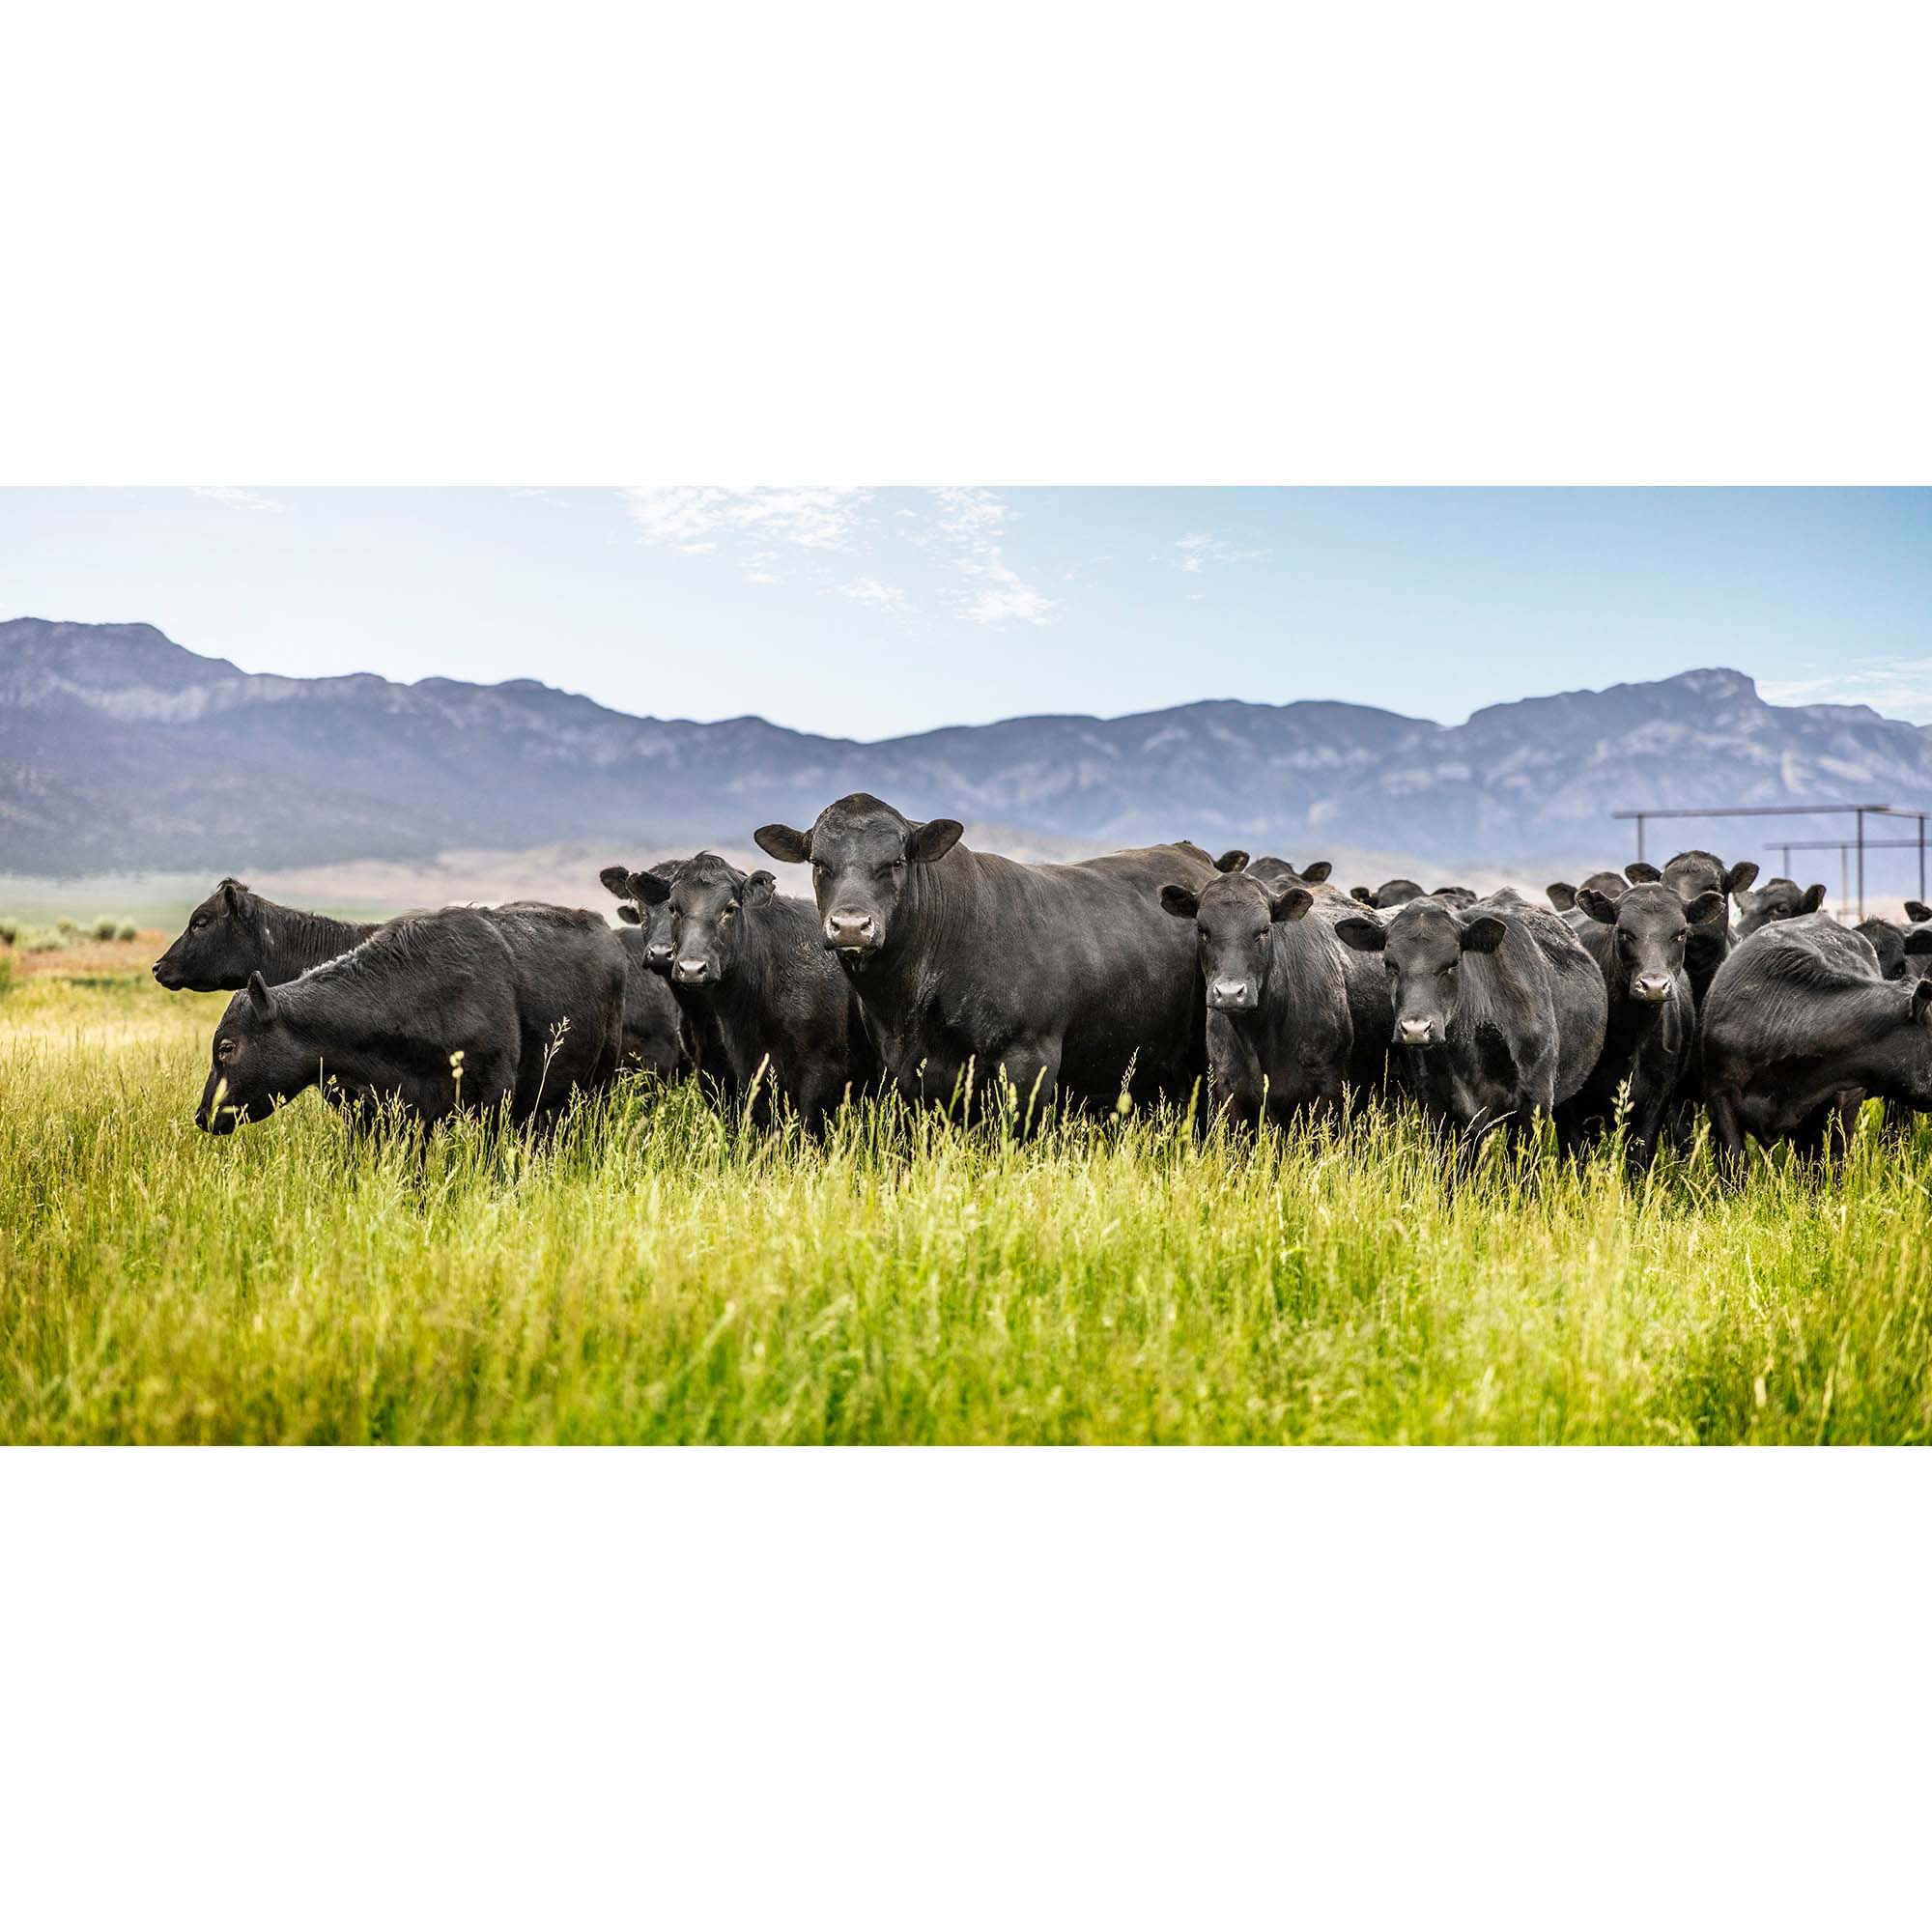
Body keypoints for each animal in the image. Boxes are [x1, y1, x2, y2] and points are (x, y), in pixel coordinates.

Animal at [1557, 882, 1722, 1166]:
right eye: (1623, 931)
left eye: (1681, 933)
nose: (1653, 986)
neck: (1625, 1041)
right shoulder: (1570, 1106)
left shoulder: (1656, 1100)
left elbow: (1640, 1156)